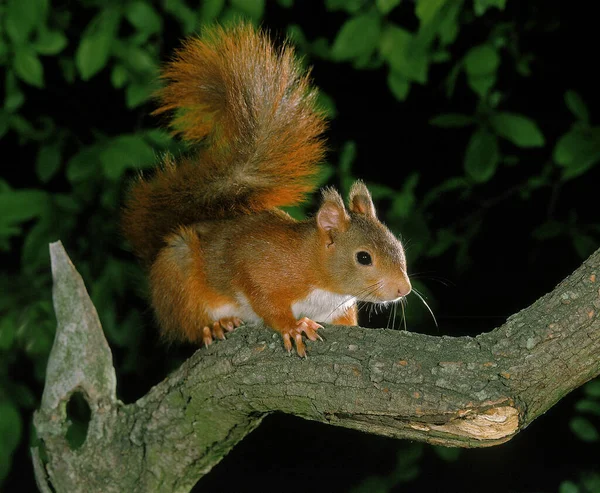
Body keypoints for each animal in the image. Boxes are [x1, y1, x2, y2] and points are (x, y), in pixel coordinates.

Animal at [122, 23, 412, 356]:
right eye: (363, 257)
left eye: (398, 246)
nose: (404, 288)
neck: (317, 273)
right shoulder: (261, 267)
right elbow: (264, 300)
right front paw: (293, 327)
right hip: (178, 280)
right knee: (188, 325)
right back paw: (215, 325)